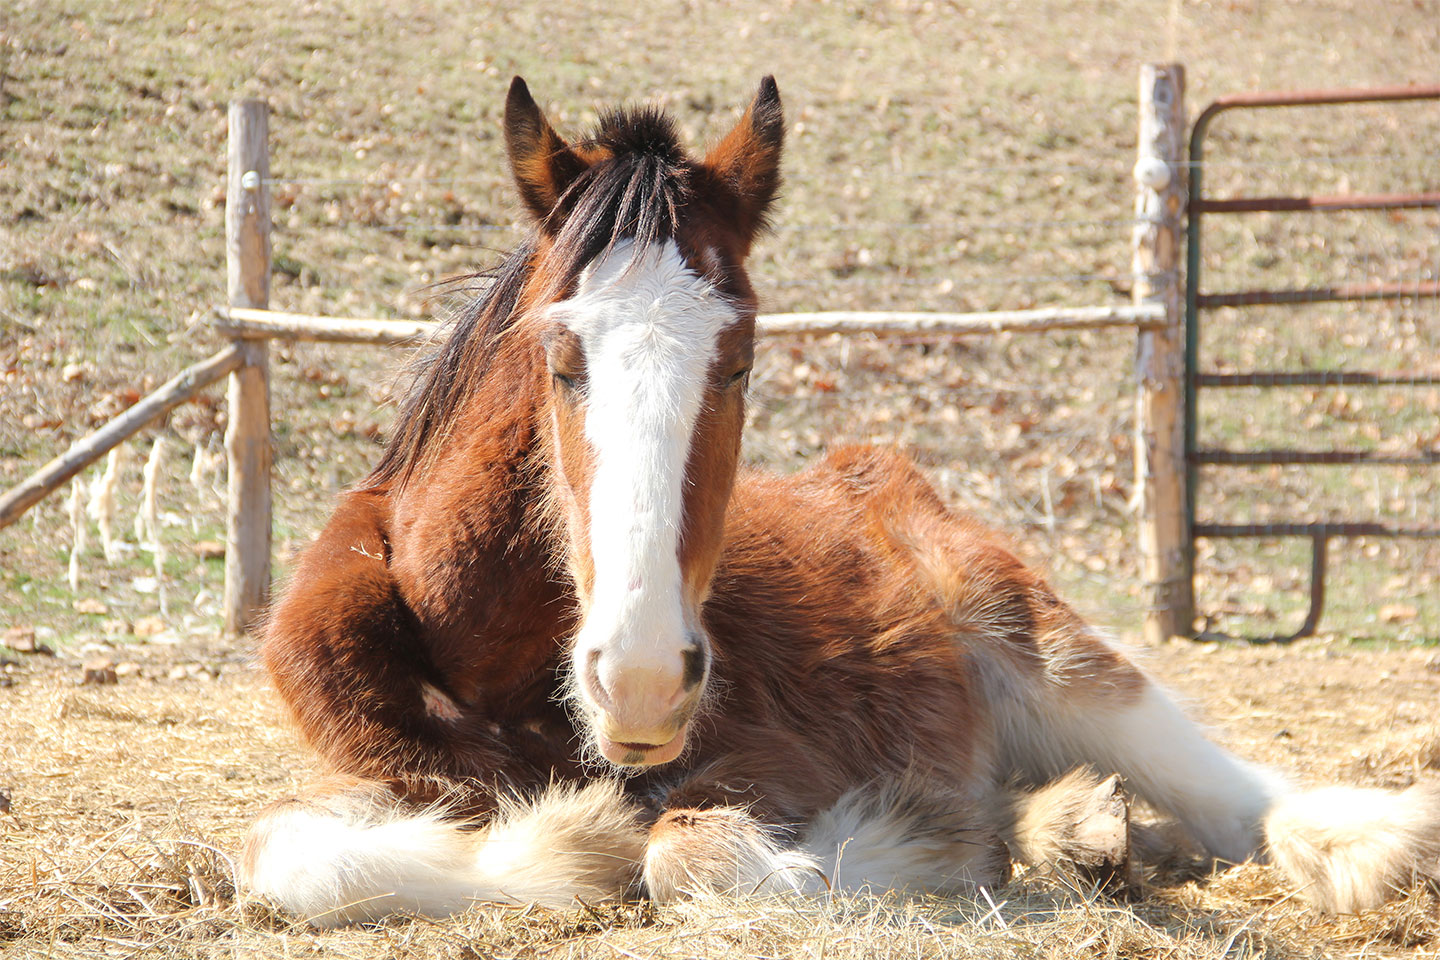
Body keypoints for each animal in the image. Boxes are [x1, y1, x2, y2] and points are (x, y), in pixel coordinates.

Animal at [242, 77, 1440, 927]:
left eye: (739, 363)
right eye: (559, 358)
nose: (641, 680)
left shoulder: (776, 767)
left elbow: (690, 853)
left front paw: (923, 843)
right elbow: (291, 858)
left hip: (1057, 659)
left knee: (1246, 796)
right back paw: (1083, 826)